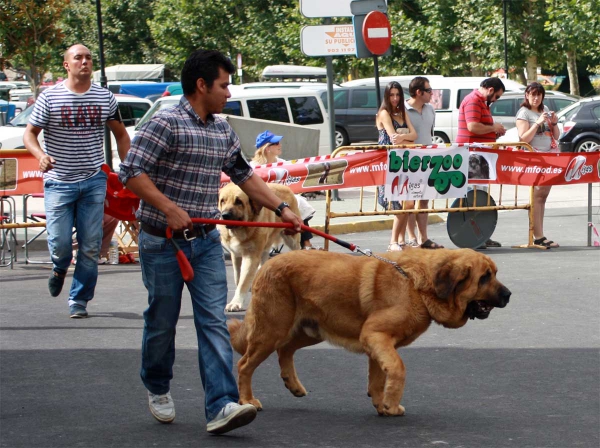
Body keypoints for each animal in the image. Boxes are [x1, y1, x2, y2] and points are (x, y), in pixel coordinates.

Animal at [218, 182, 300, 312]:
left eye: (238, 201)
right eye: (222, 201)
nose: (225, 215)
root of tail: (284, 187)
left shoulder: (251, 256)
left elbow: (243, 281)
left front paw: (236, 302)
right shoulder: (236, 255)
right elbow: (238, 277)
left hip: (292, 239)